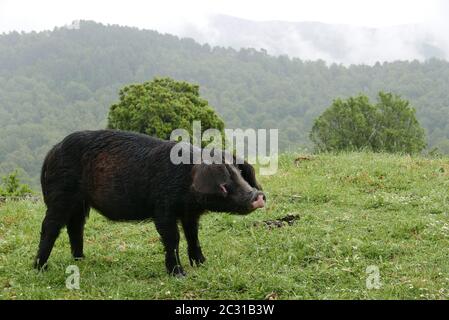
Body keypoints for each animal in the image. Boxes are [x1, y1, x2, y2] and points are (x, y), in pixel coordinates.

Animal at [36, 129, 266, 276]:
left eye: (239, 174)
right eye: (224, 183)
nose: (257, 196)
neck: (186, 182)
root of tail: (51, 152)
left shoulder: (190, 213)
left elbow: (193, 236)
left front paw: (202, 264)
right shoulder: (163, 208)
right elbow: (172, 238)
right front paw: (179, 274)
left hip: (80, 203)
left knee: (75, 227)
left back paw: (81, 260)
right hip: (60, 195)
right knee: (50, 227)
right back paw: (41, 268)